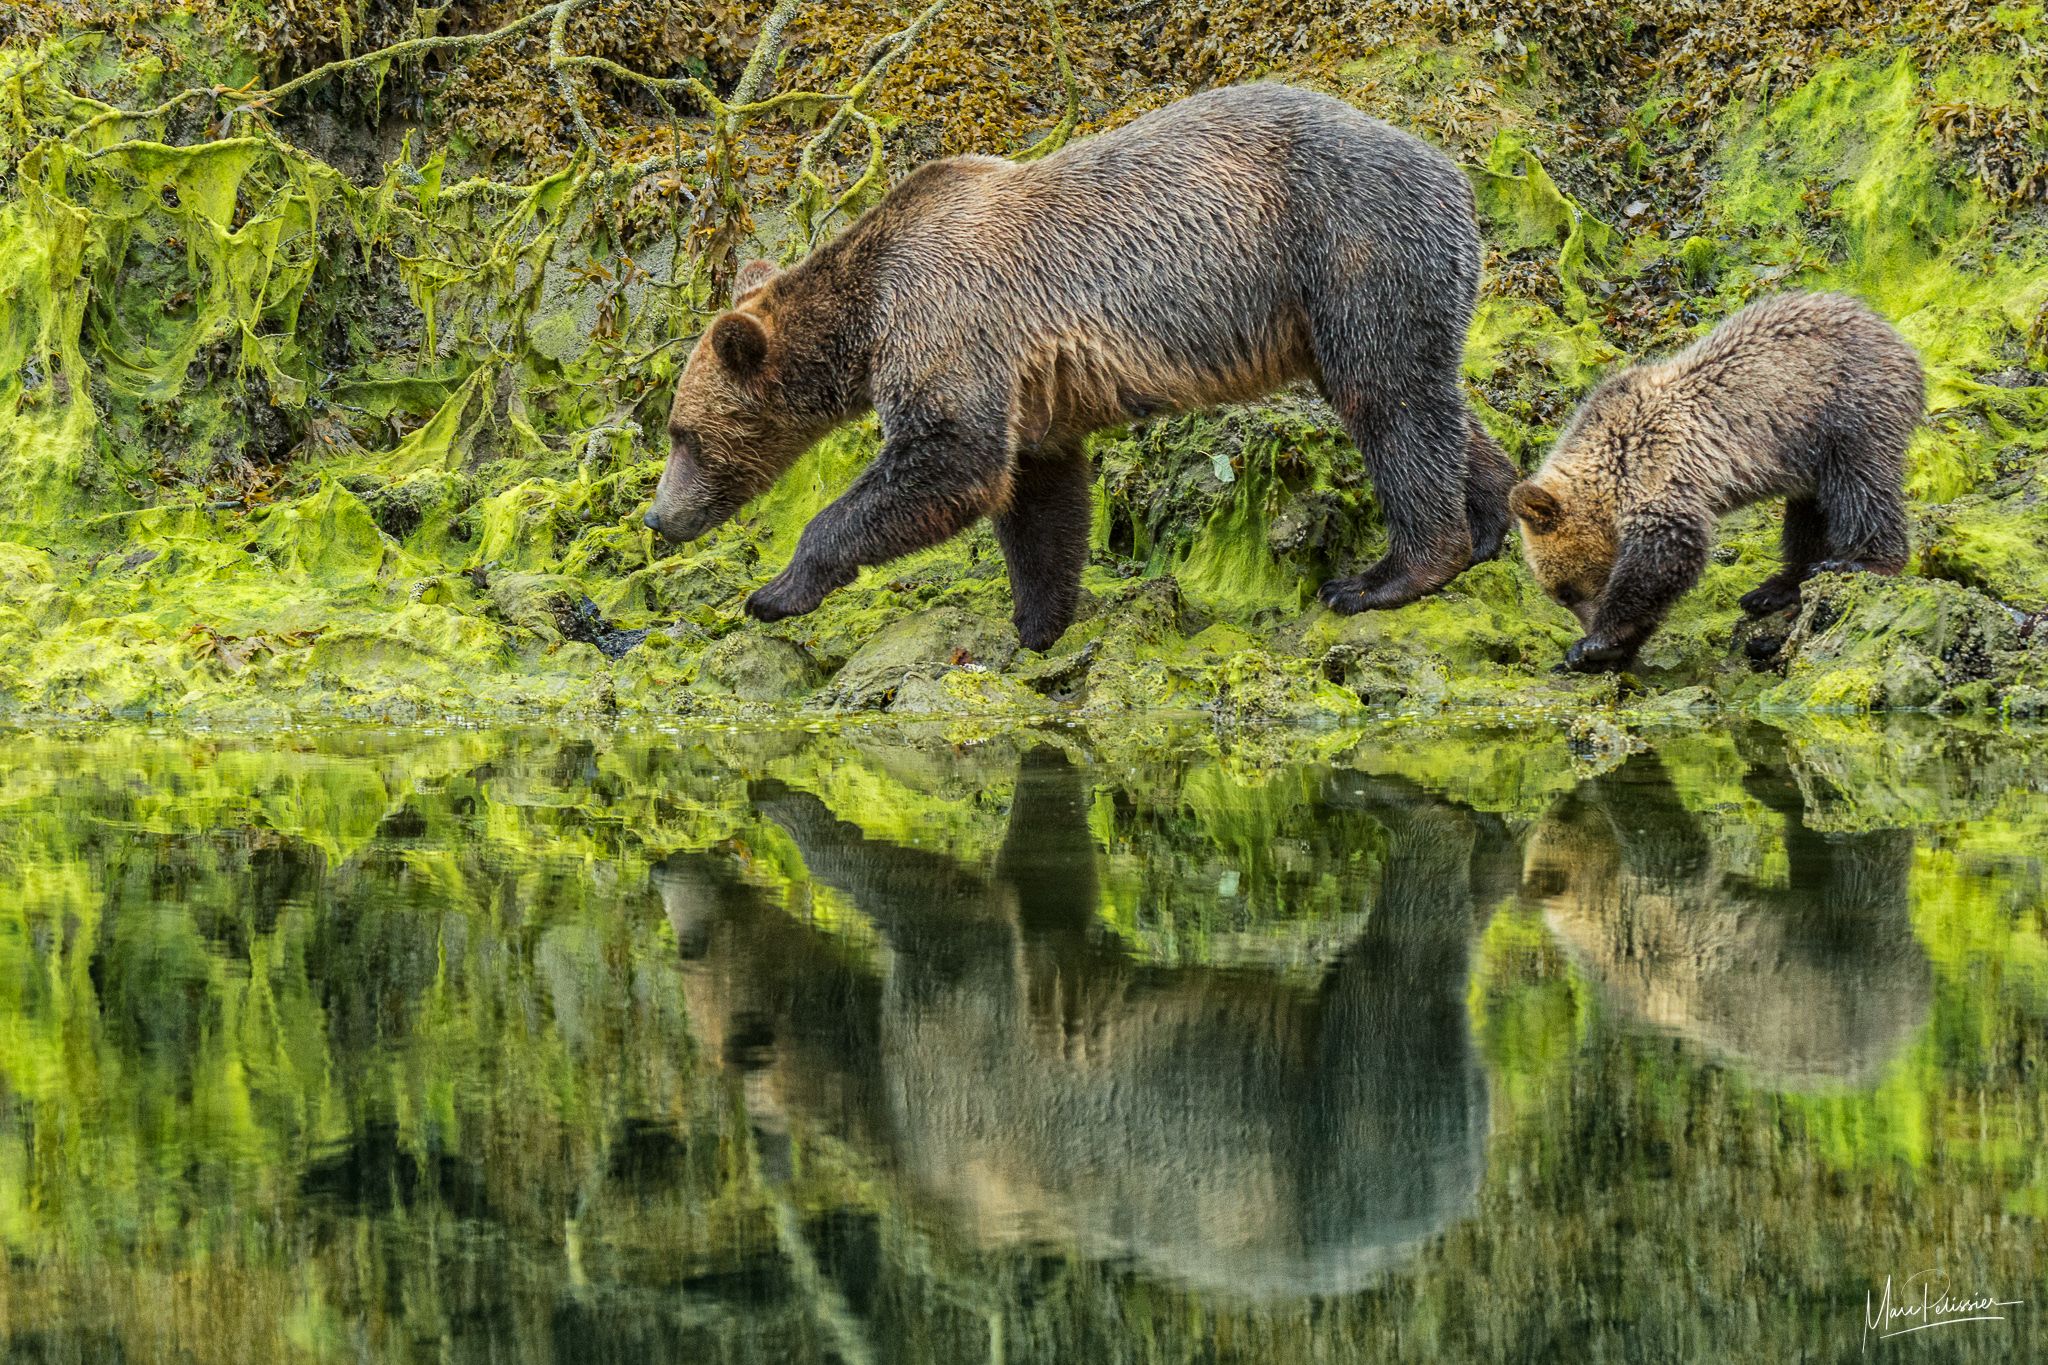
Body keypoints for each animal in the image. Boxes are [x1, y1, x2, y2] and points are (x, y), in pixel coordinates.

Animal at [644, 82, 1518, 651]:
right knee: (1429, 397)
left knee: (1387, 402)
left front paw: (775, 590)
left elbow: (948, 457)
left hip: (1348, 245)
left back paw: (1385, 575)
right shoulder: (1033, 388)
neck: (866, 311)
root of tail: (1455, 171)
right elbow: (1037, 495)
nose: (657, 517)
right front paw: (1037, 624)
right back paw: (1490, 520)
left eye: (681, 433)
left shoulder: (949, 317)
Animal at [1509, 291, 1923, 672]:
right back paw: (1774, 588)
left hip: (1844, 409)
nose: (1583, 621)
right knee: (1809, 513)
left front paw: (1596, 643)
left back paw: (1859, 562)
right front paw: (1605, 651)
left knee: (1860, 484)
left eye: (1565, 591)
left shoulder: (1658, 466)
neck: (1608, 471)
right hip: (1807, 455)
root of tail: (1890, 332)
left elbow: (1664, 556)